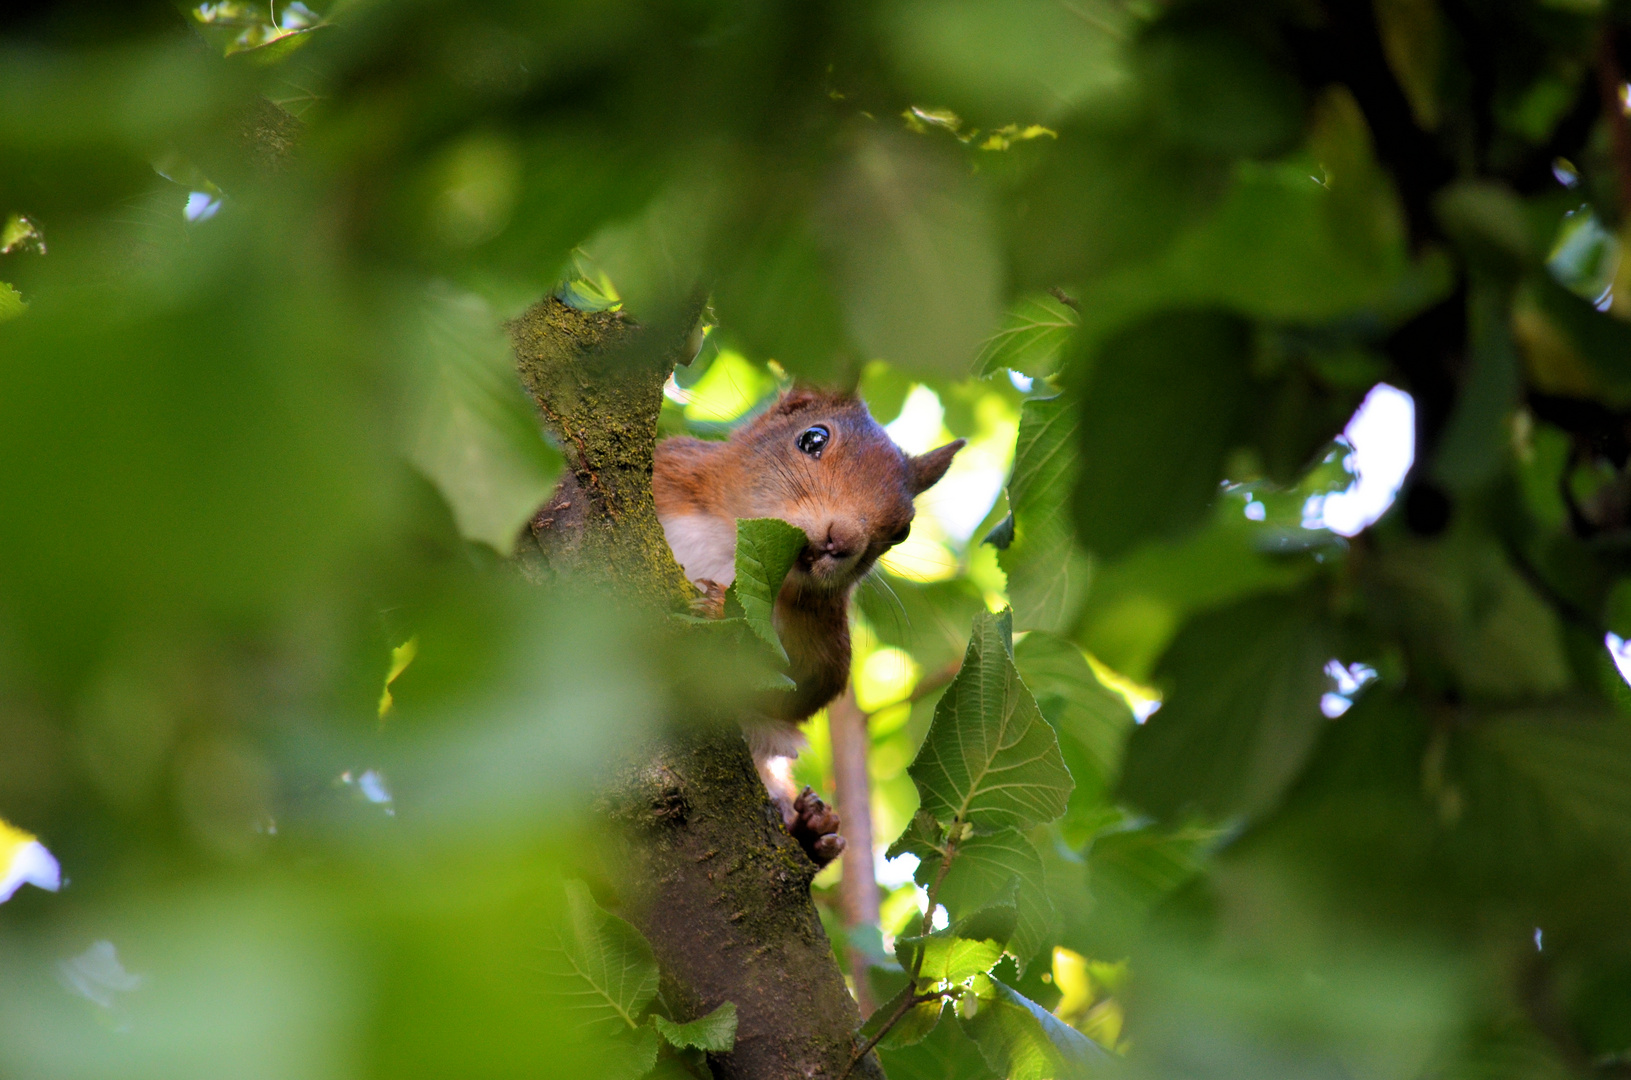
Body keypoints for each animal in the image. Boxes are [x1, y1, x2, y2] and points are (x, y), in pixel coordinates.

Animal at [649, 389, 959, 874]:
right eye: (813, 438)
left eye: (903, 531)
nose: (841, 540)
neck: (733, 547)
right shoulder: (671, 472)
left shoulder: (826, 633)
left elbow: (803, 689)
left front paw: (723, 618)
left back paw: (812, 832)